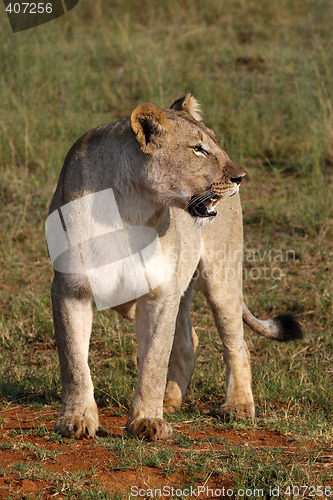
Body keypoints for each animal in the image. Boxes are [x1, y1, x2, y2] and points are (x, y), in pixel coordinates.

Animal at [47, 94, 300, 442]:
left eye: (217, 143)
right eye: (198, 149)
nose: (240, 177)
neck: (127, 210)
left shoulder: (160, 293)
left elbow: (154, 360)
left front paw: (146, 421)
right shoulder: (70, 290)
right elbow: (74, 363)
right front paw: (76, 419)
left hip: (221, 280)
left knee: (237, 345)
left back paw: (237, 406)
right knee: (188, 341)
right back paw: (171, 400)